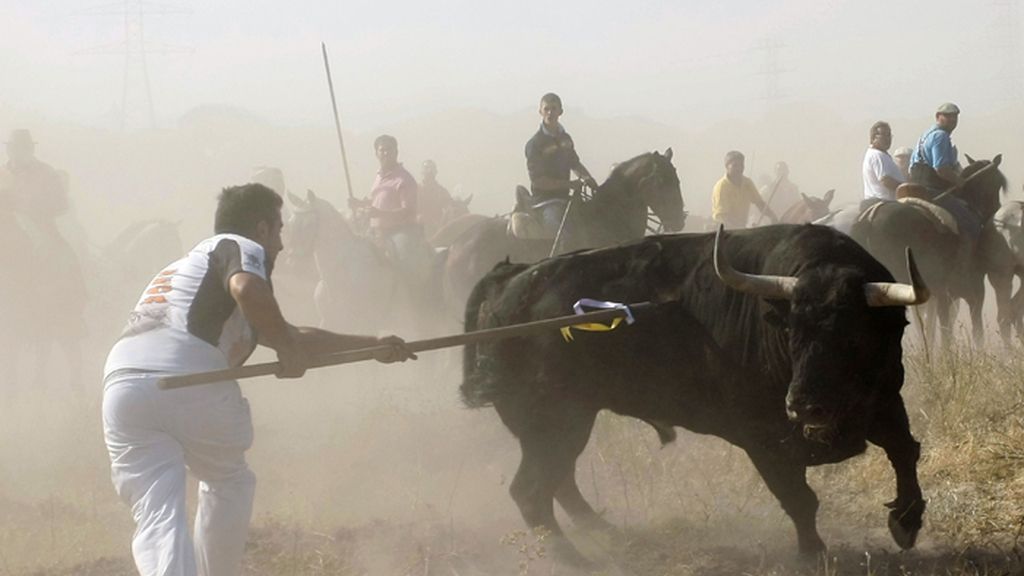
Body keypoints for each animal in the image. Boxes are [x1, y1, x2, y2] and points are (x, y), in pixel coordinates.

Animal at [460, 224, 933, 561]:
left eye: (851, 336)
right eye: (792, 332)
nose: (803, 405)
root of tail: (510, 281)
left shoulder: (887, 403)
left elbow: (905, 452)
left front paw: (906, 522)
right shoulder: (762, 439)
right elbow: (799, 498)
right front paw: (812, 553)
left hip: (565, 425)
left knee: (557, 483)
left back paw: (605, 534)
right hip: (553, 423)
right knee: (532, 491)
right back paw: (576, 558)